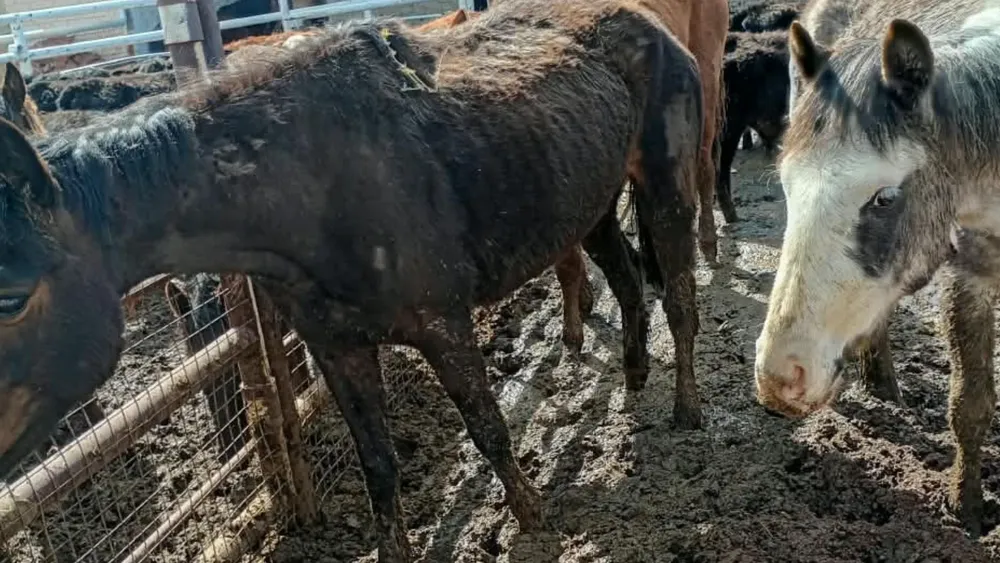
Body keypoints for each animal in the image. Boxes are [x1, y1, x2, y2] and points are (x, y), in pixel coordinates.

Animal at [0, 0, 705, 559]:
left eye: (11, 297)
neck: (313, 184)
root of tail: (646, 21)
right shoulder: (337, 348)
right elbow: (378, 467)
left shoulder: (443, 325)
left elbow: (488, 427)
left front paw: (533, 520)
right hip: (590, 203)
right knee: (626, 280)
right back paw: (634, 376)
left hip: (666, 187)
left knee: (679, 301)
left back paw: (687, 412)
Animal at [754, 0, 1000, 537]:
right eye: (786, 186)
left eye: (885, 198)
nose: (781, 376)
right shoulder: (970, 274)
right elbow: (970, 404)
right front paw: (968, 510)